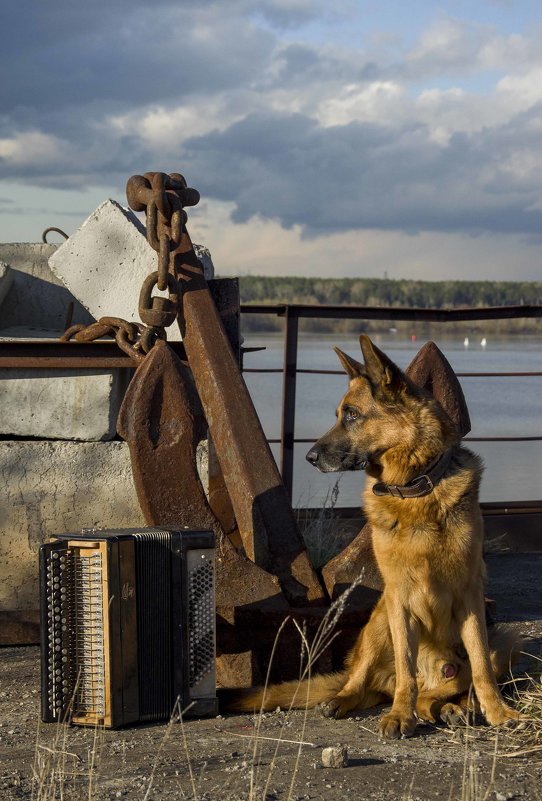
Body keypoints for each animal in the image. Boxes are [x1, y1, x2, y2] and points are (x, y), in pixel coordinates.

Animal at [225, 332, 524, 736]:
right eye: (340, 414)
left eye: (352, 415)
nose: (309, 457)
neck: (415, 490)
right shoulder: (399, 598)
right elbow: (405, 670)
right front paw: (400, 715)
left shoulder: (470, 596)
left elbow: (479, 665)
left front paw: (497, 712)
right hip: (379, 619)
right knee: (366, 681)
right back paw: (346, 701)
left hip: (507, 642)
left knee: (443, 689)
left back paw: (455, 708)